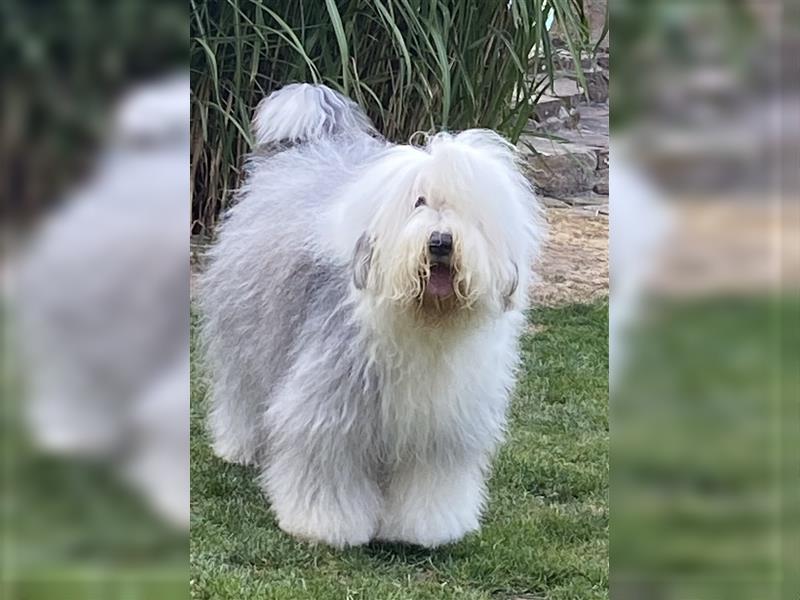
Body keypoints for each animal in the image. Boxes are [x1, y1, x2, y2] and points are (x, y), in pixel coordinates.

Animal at [199, 83, 544, 548]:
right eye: (418, 202)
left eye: (465, 209)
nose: (440, 242)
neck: (422, 320)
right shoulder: (330, 404)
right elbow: (326, 466)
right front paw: (325, 524)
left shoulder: (443, 422)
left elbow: (431, 479)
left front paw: (425, 529)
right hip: (248, 334)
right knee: (241, 393)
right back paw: (238, 449)